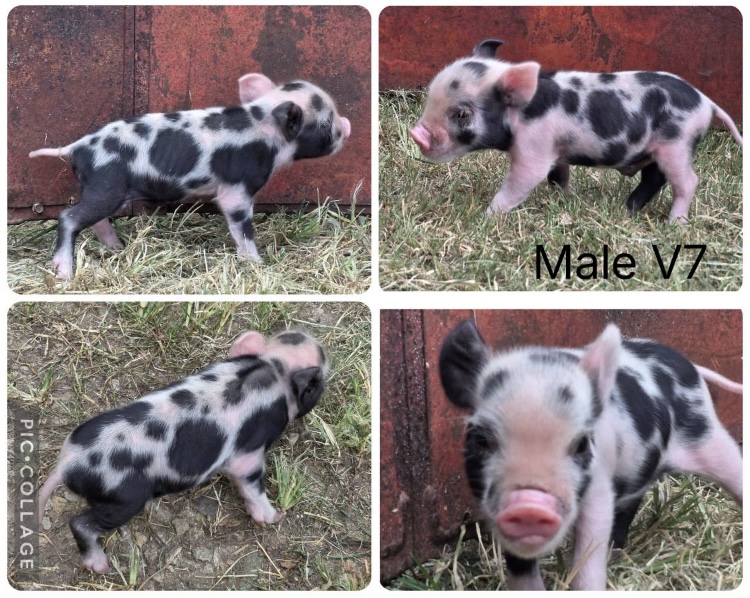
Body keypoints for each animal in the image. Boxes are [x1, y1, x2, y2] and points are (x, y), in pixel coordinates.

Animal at [29, 74, 352, 279]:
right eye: (325, 124)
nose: (346, 126)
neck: (262, 128)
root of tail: (77, 147)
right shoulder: (237, 190)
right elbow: (242, 228)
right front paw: (257, 264)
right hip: (107, 187)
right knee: (69, 217)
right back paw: (65, 274)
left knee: (95, 221)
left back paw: (117, 248)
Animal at [37, 329, 328, 574]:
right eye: (318, 381)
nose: (319, 344)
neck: (273, 369)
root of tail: (68, 463)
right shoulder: (249, 451)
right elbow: (251, 482)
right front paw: (272, 517)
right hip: (122, 499)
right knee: (81, 524)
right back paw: (101, 567)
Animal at [410, 39, 743, 223]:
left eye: (462, 114)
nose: (416, 133)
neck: (522, 113)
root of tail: (706, 102)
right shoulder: (557, 152)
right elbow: (558, 176)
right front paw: (564, 201)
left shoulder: (534, 150)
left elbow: (523, 180)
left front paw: (488, 217)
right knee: (654, 177)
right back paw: (628, 210)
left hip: (676, 143)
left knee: (687, 181)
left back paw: (674, 224)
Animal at [439, 319, 742, 590]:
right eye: (481, 439)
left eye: (581, 444)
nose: (530, 504)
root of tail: (689, 366)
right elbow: (520, 566)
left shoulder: (599, 490)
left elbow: (588, 558)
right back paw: (617, 551)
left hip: (707, 437)